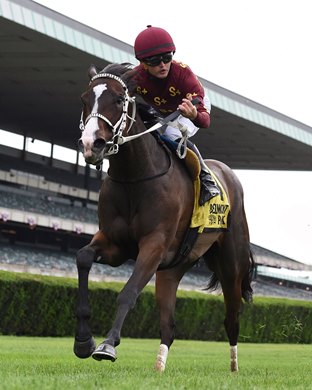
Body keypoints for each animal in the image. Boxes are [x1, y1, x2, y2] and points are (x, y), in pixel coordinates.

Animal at [74, 63, 255, 372]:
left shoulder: (154, 245)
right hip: (172, 268)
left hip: (232, 263)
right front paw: (83, 341)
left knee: (232, 315)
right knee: (169, 325)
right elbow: (83, 258)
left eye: (119, 100)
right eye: (85, 99)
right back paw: (159, 366)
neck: (135, 177)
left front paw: (107, 345)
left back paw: (233, 367)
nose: (91, 144)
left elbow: (129, 292)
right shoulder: (114, 244)